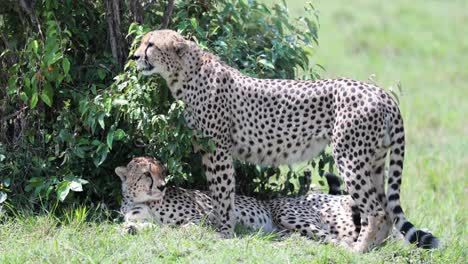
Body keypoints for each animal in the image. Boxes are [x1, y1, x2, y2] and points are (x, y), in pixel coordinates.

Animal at [131, 29, 438, 252]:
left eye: (150, 45)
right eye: (142, 42)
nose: (134, 57)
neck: (187, 72)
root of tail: (380, 92)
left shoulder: (218, 149)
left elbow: (223, 192)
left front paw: (224, 232)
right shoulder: (208, 149)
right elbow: (218, 192)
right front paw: (222, 227)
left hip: (351, 157)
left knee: (376, 210)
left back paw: (358, 251)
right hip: (373, 160)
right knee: (384, 208)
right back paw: (373, 249)